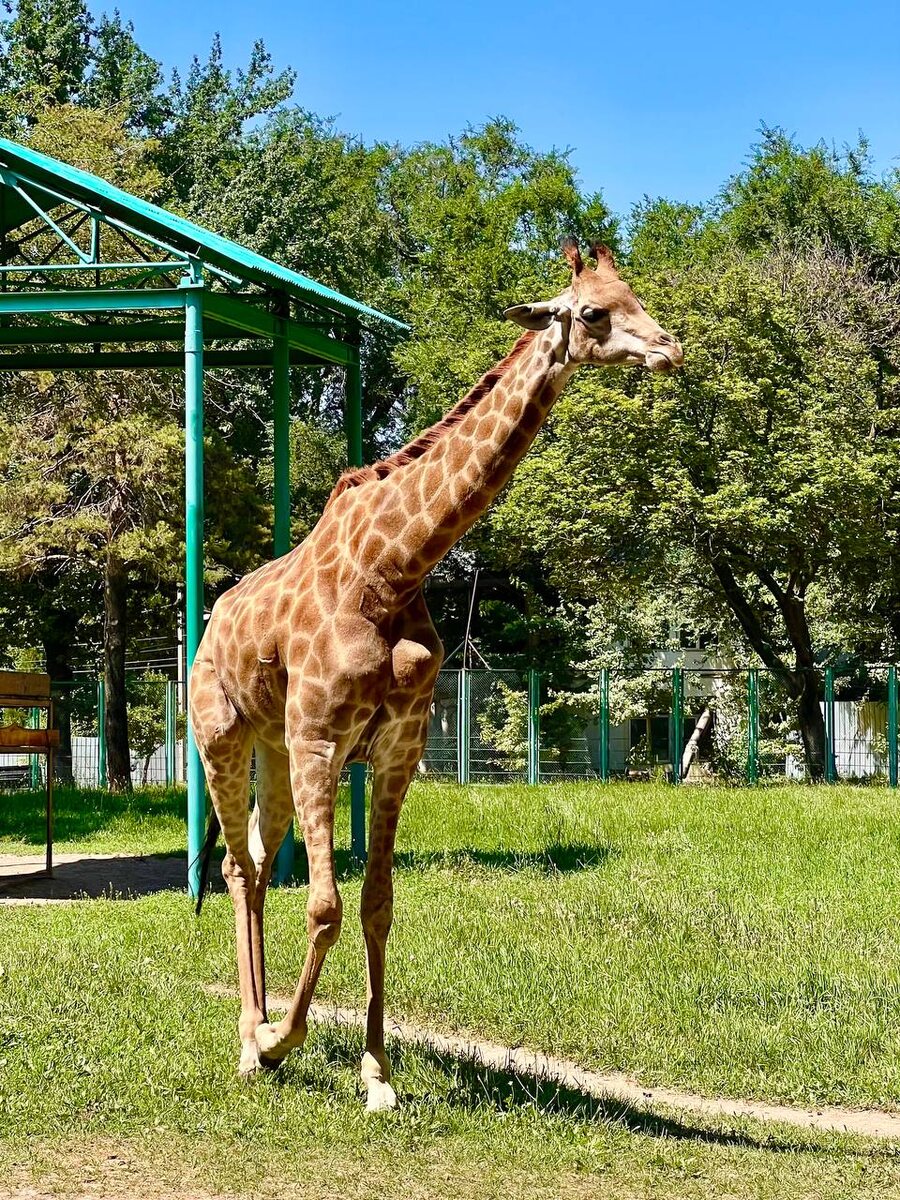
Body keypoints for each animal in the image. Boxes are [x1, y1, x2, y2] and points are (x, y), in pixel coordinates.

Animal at [189, 238, 683, 1111]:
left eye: (635, 294)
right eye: (594, 311)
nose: (670, 350)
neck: (395, 568)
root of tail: (212, 622)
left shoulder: (395, 750)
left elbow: (378, 906)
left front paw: (377, 1076)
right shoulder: (322, 739)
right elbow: (325, 905)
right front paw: (285, 1041)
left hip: (274, 750)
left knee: (253, 859)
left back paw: (258, 1027)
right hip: (224, 733)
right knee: (239, 865)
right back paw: (251, 1044)